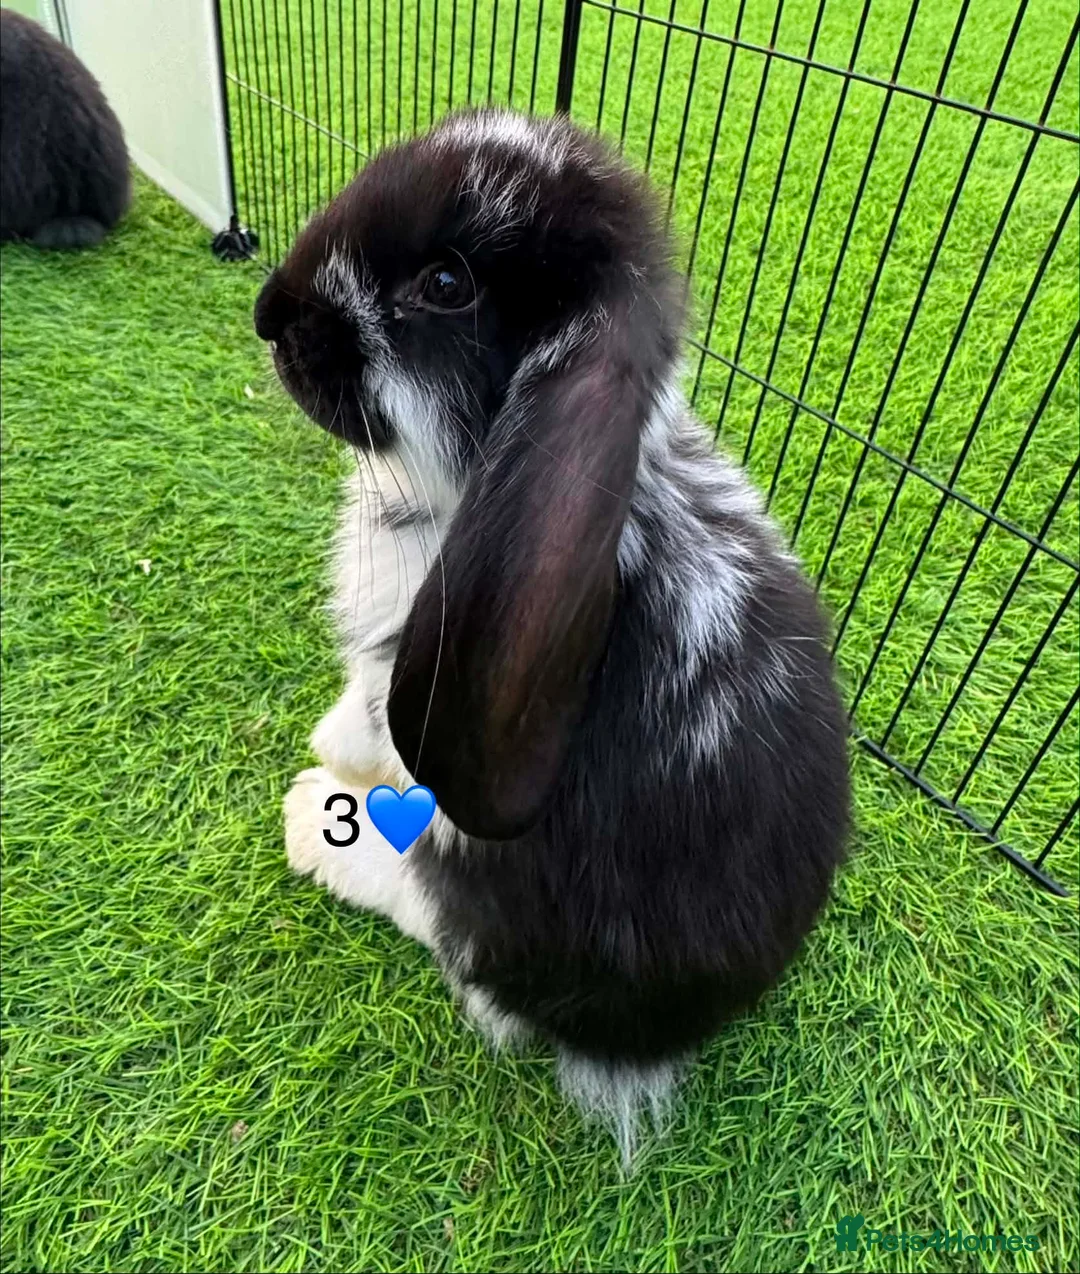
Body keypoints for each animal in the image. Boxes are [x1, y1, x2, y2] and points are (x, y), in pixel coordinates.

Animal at [254, 108, 850, 1163]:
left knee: (444, 926)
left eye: (446, 286)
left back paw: (313, 818)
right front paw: (332, 737)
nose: (268, 313)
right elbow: (361, 710)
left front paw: (320, 777)